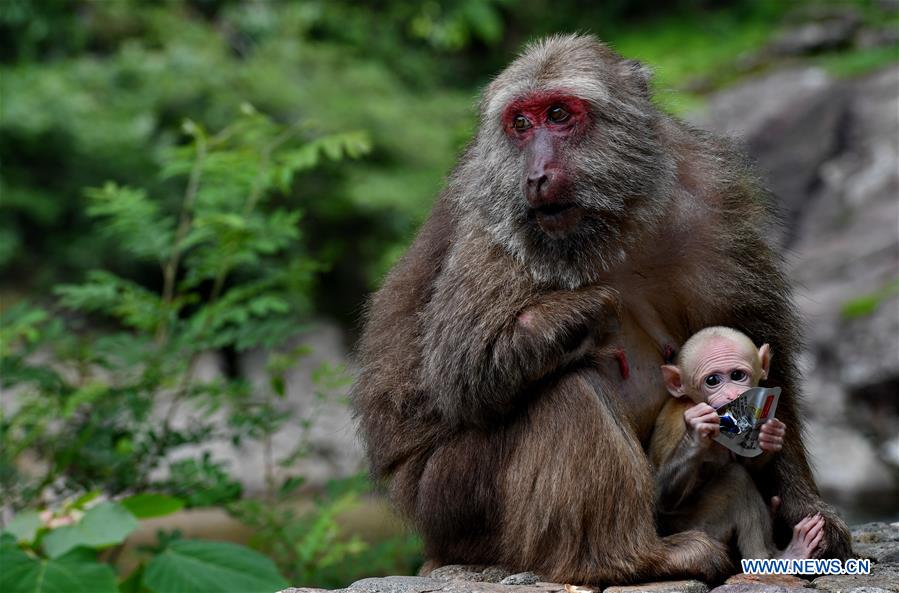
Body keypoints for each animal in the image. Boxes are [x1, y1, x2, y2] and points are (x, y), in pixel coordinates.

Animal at [650, 326, 825, 561]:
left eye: (737, 375)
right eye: (712, 380)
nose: (733, 395)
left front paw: (770, 436)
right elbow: (661, 499)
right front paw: (696, 433)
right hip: (698, 528)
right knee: (736, 480)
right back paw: (782, 557)